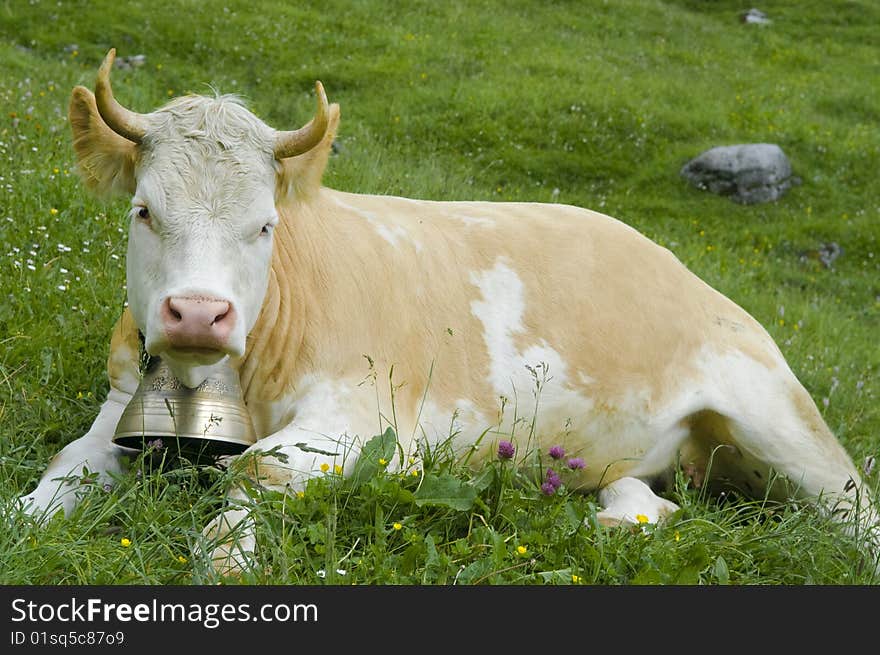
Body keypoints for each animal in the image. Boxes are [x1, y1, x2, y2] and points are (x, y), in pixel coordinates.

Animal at [15, 50, 880, 576]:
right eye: (144, 211)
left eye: (263, 223)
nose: (199, 315)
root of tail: (679, 267)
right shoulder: (120, 406)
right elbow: (63, 469)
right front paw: (23, 521)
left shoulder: (370, 423)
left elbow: (254, 468)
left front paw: (227, 557)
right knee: (649, 495)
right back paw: (607, 519)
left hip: (778, 415)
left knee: (855, 506)